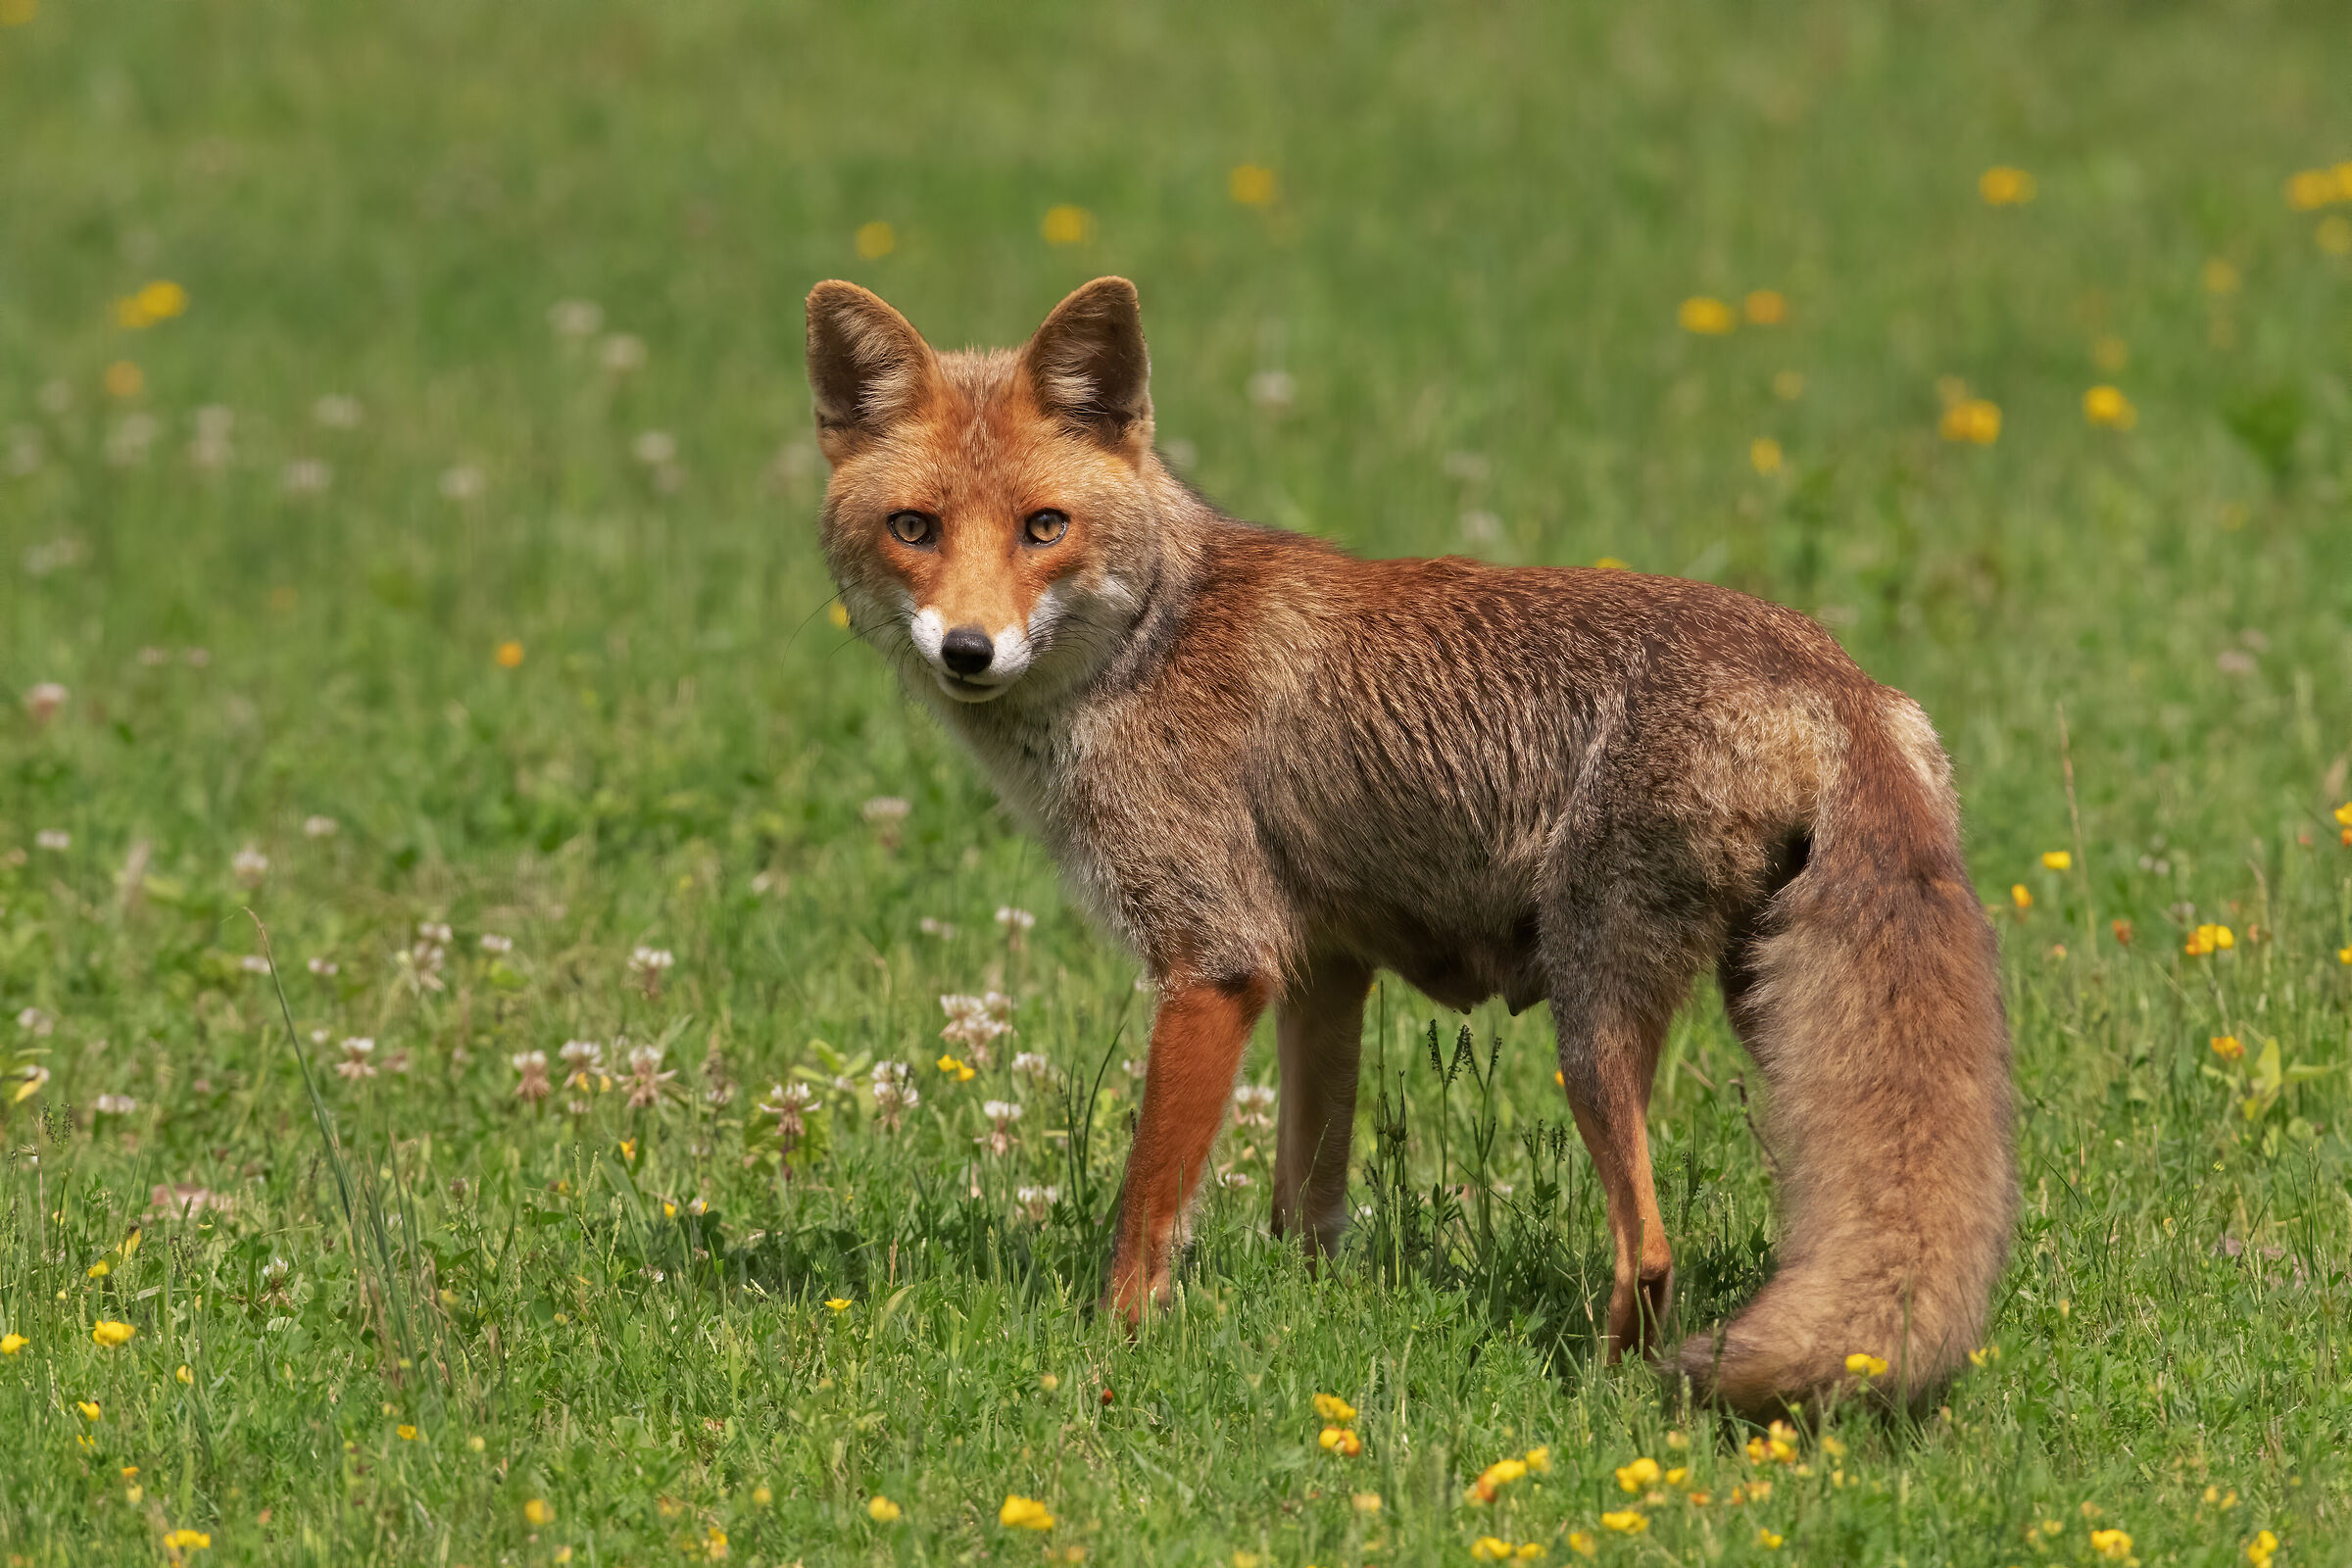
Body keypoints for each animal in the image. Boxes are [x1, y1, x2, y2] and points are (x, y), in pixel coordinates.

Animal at [802, 275, 2017, 1416]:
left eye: (1043, 528)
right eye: (914, 529)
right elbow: (1306, 1206)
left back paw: (1601, 1400)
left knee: (1650, 1249)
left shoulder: (1216, 960)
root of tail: (1835, 675)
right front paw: (1301, 1317)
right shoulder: (1322, 969)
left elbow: (1147, 1213)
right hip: (1774, 1014)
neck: (1150, 639)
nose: (968, 650)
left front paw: (1114, 1351)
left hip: (1595, 1023)